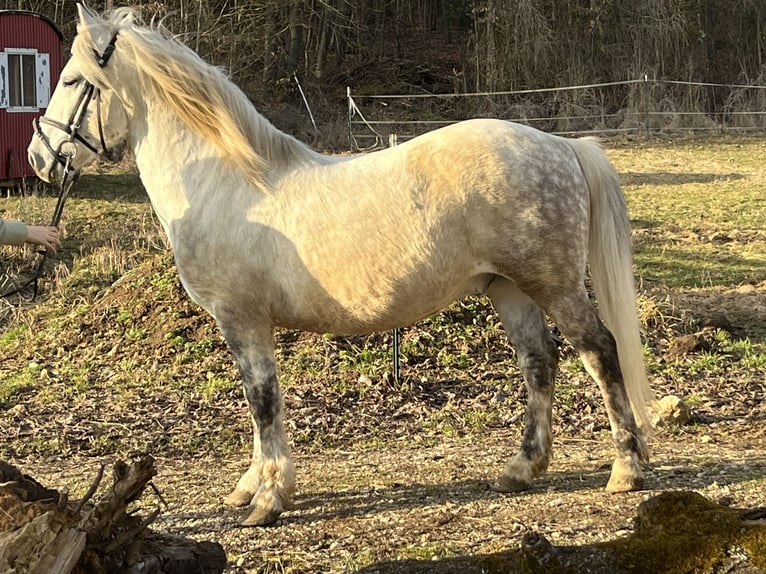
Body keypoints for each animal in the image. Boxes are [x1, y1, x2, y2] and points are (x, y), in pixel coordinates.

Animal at [28, 5, 656, 527]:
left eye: (72, 81)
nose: (38, 159)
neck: (229, 184)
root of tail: (564, 145)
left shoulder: (243, 320)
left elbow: (263, 402)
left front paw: (267, 501)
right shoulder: (246, 325)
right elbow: (257, 406)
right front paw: (251, 486)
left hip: (554, 285)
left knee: (600, 351)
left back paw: (627, 470)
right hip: (509, 289)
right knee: (539, 363)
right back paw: (521, 470)